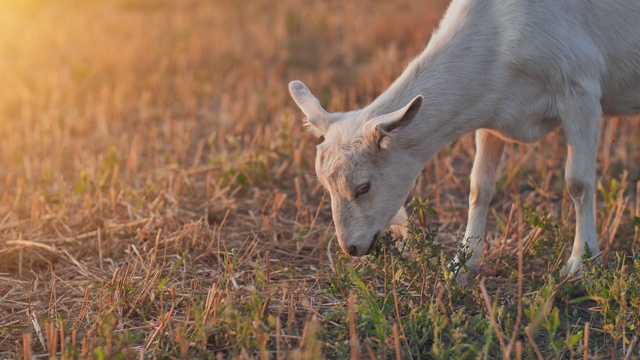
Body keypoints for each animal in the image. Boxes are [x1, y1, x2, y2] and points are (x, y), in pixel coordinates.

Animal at [290, 0, 640, 278]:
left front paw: (582, 266)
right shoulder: (491, 113)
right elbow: (479, 186)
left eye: (364, 187)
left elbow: (578, 184)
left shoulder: (580, 92)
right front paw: (463, 264)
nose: (350, 247)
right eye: (325, 186)